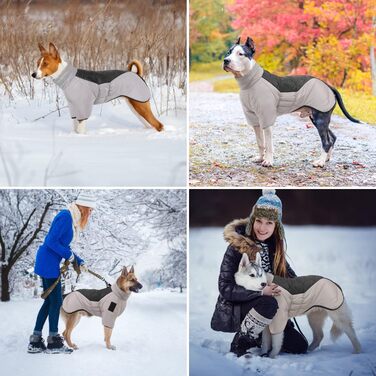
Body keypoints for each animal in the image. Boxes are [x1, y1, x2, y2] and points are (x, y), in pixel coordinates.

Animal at [30, 43, 163, 134]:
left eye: (45, 64)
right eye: (37, 63)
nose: (33, 74)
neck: (70, 78)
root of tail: (137, 74)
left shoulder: (83, 107)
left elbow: (81, 129)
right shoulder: (74, 107)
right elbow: (75, 127)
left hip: (140, 106)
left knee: (159, 125)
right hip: (135, 106)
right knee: (149, 124)